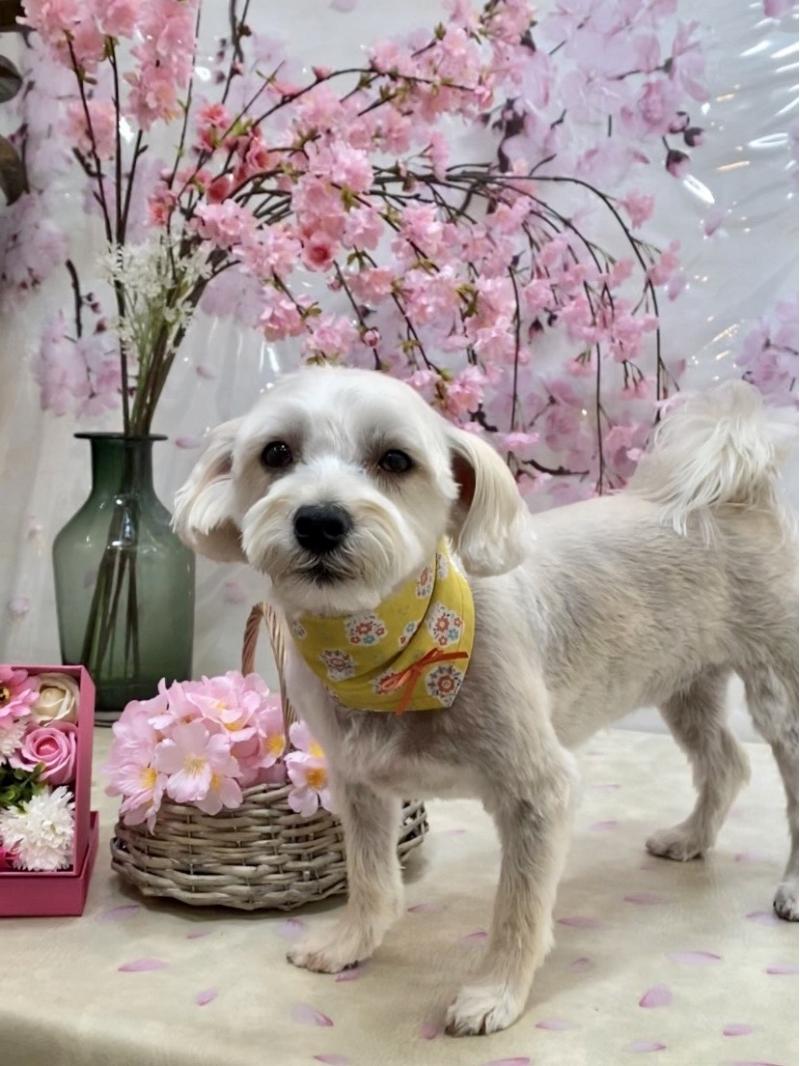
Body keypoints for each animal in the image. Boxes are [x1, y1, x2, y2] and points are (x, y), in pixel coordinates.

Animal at [174, 366, 798, 1036]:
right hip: (685, 682)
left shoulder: (537, 792)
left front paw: (495, 994)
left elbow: (518, 910)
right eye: (275, 453)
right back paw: (690, 838)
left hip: (781, 691)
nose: (319, 520)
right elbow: (371, 878)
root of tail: (738, 497)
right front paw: (348, 943)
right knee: (726, 763)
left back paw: (791, 888)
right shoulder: (358, 781)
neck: (382, 646)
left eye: (395, 459)